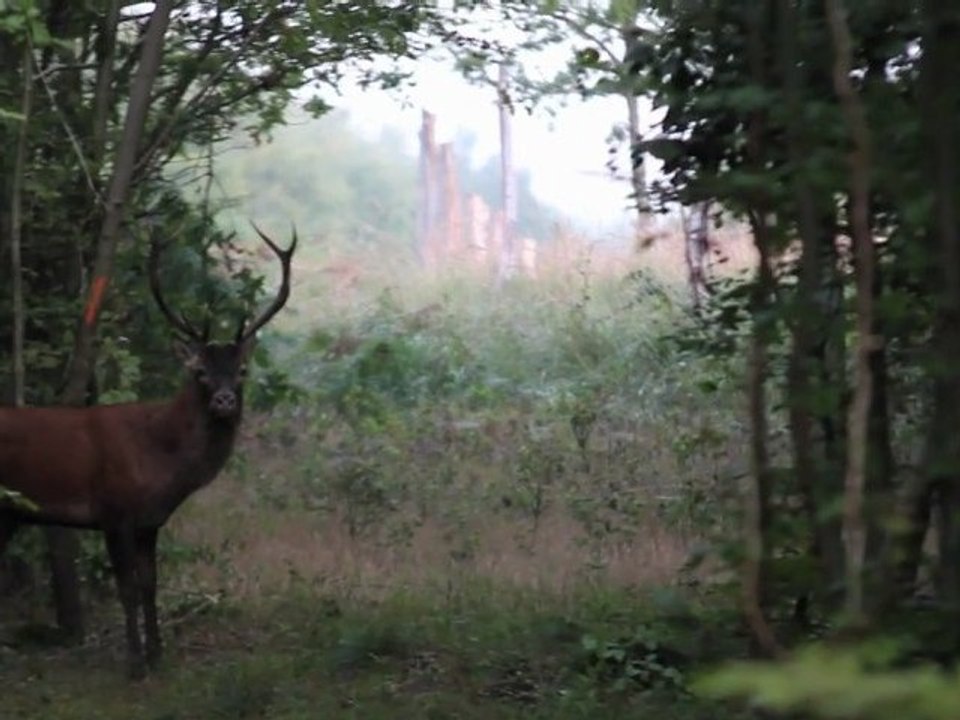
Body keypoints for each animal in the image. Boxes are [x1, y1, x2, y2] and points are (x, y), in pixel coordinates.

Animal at [0, 225, 296, 679]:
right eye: (200, 371)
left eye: (242, 370)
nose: (224, 400)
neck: (159, 459)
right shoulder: (112, 510)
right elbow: (126, 588)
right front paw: (135, 663)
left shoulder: (150, 521)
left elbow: (150, 584)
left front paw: (158, 654)